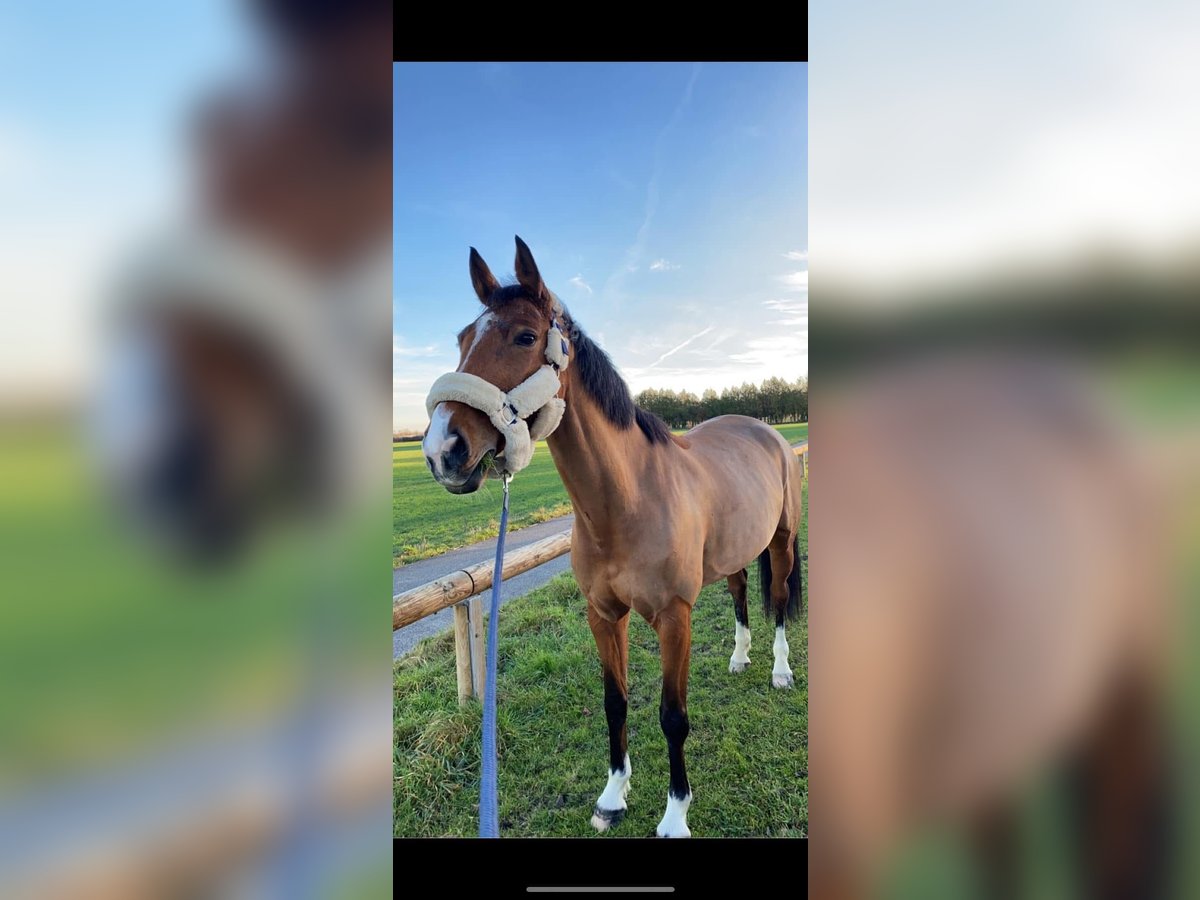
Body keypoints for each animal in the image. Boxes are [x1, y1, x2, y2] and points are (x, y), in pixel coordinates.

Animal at [422, 237, 806, 840]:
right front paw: (612, 797)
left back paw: (780, 670)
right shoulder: (602, 615)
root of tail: (767, 431)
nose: (443, 449)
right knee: (742, 591)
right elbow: (615, 703)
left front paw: (675, 815)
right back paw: (741, 657)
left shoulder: (674, 618)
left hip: (783, 543)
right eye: (463, 340)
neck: (626, 503)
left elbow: (672, 716)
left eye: (525, 336)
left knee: (783, 600)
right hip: (734, 553)